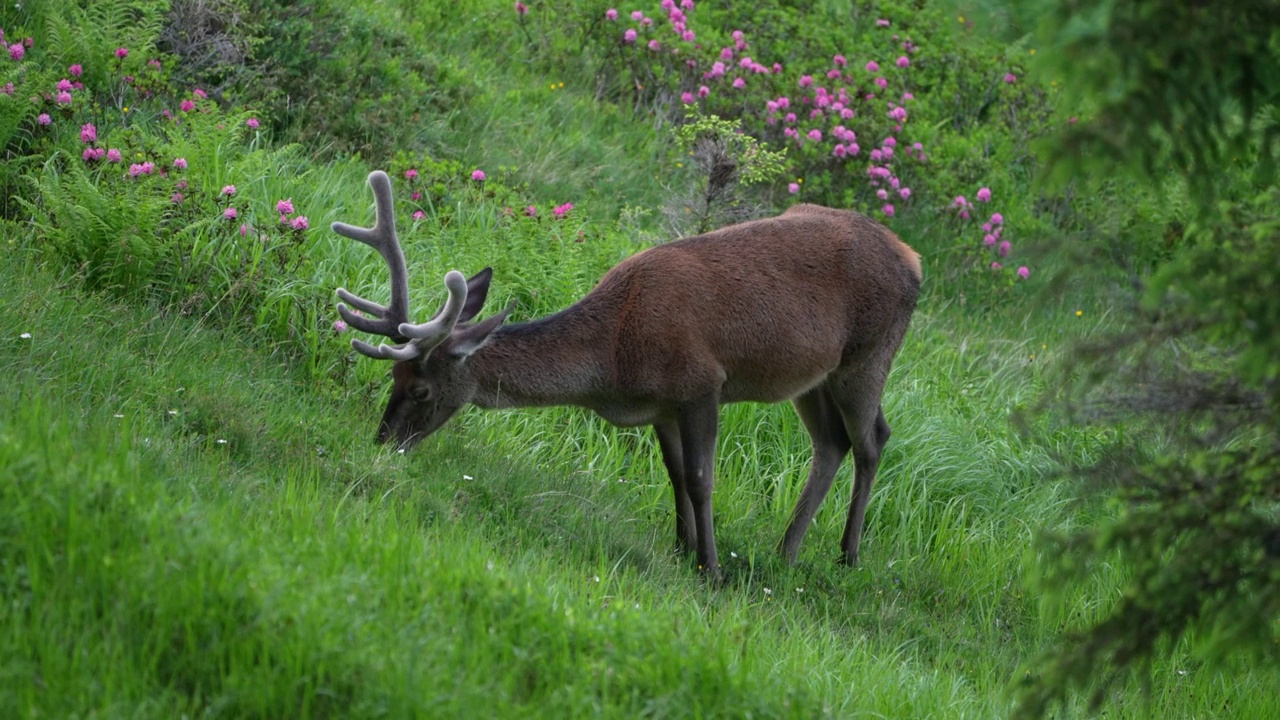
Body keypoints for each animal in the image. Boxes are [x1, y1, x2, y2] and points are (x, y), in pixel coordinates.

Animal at [335, 170, 921, 573]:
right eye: (393, 380)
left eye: (422, 390)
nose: (382, 442)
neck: (615, 361)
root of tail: (914, 261)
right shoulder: (662, 405)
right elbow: (675, 473)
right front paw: (683, 548)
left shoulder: (702, 383)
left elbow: (702, 478)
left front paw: (711, 568)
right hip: (813, 377)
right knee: (832, 442)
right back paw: (786, 550)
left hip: (868, 356)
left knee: (872, 439)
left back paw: (847, 554)